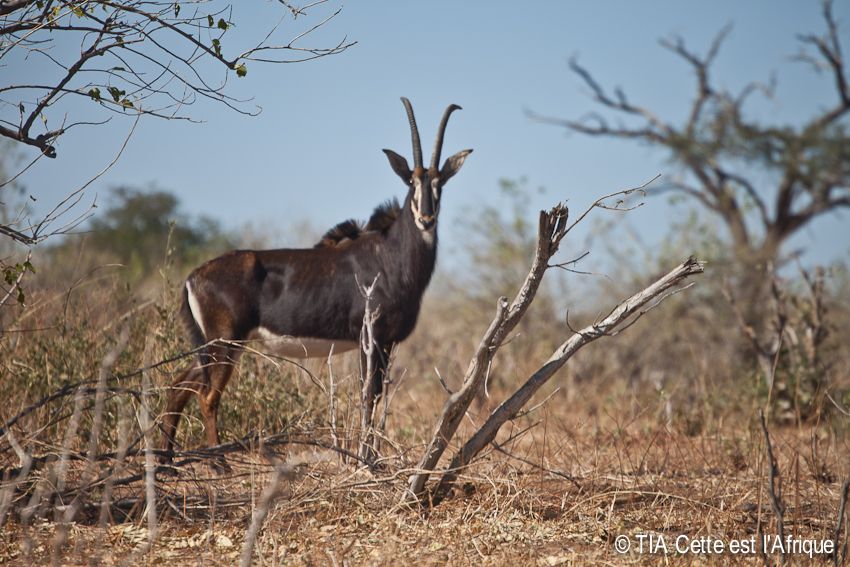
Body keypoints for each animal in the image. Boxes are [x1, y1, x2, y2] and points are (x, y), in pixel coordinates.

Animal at [161, 96, 470, 462]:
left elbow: (378, 397)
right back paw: (218, 464)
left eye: (440, 184)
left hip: (212, 346)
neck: (391, 256)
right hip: (225, 342)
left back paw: (167, 462)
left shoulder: (388, 342)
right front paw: (366, 459)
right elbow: (368, 396)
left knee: (179, 385)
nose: (426, 218)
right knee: (206, 396)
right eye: (411, 182)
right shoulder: (369, 336)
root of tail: (193, 277)